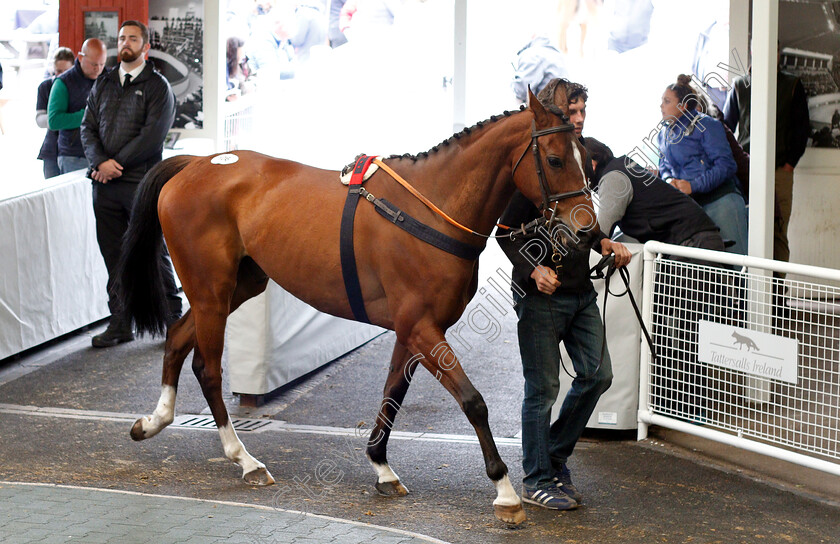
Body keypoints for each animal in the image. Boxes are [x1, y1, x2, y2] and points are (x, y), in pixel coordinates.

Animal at [116, 91, 596, 524]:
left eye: (587, 157)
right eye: (555, 160)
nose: (586, 229)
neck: (430, 208)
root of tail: (196, 164)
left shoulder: (411, 329)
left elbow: (393, 393)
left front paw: (381, 466)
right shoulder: (422, 327)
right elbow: (473, 401)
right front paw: (505, 491)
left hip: (238, 286)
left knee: (177, 339)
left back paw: (155, 420)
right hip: (211, 288)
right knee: (208, 368)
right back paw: (244, 459)